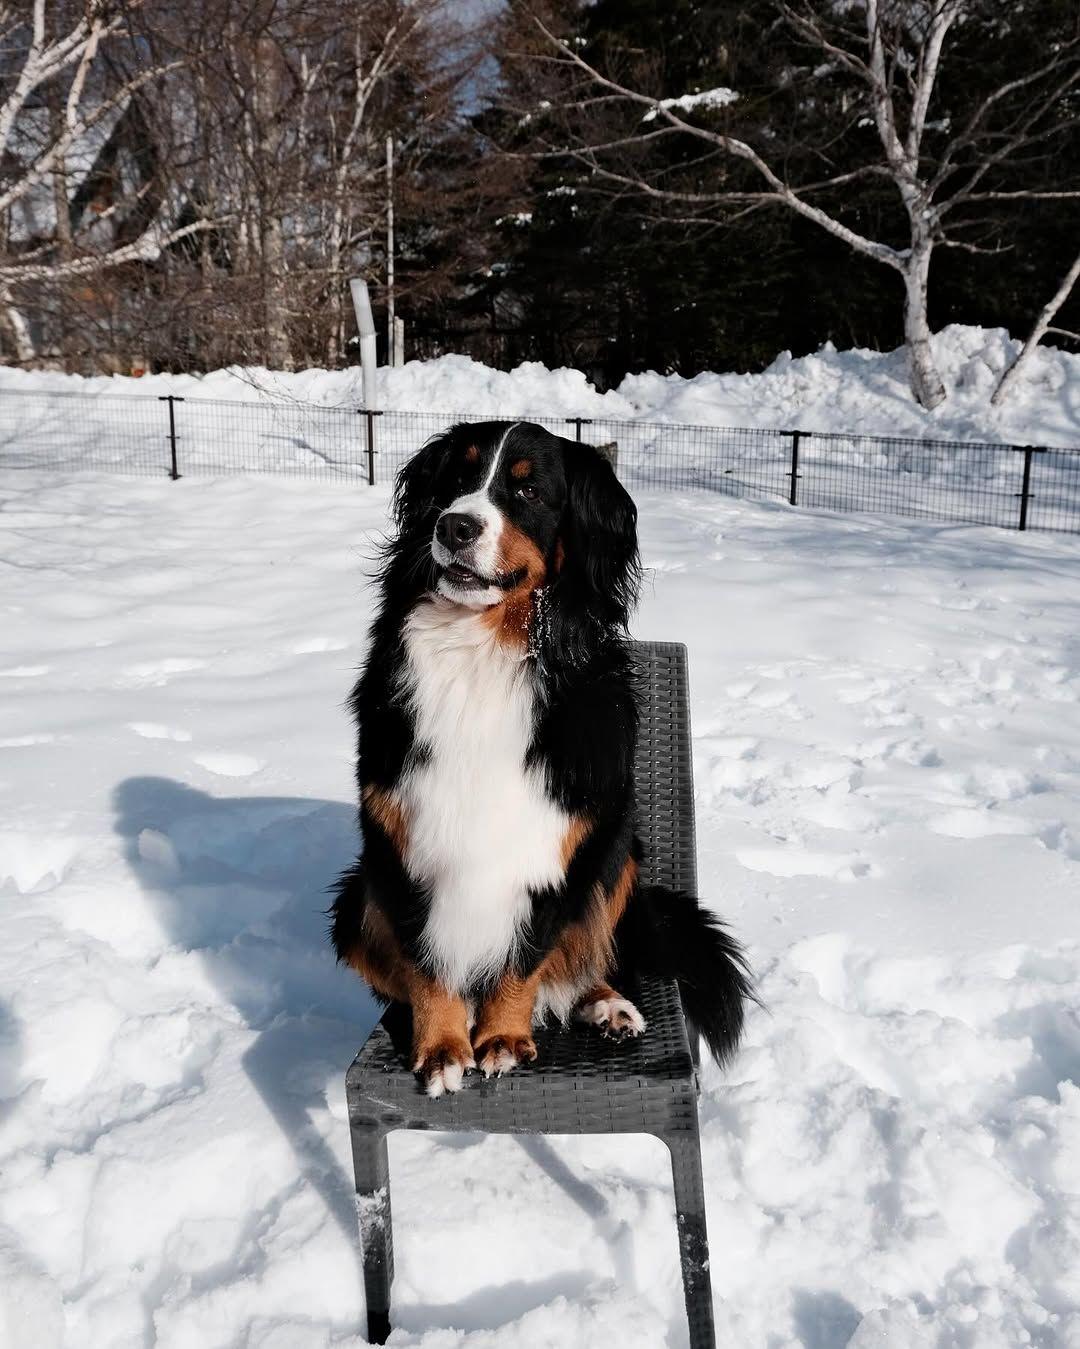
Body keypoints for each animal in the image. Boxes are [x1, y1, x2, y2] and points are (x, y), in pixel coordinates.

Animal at [328, 420, 749, 1095]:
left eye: (527, 491)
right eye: (457, 477)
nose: (455, 526)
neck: (483, 650)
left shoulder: (559, 842)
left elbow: (528, 954)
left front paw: (501, 1037)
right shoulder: (400, 842)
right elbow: (426, 961)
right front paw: (442, 1048)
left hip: (618, 855)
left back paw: (606, 1004)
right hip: (354, 899)